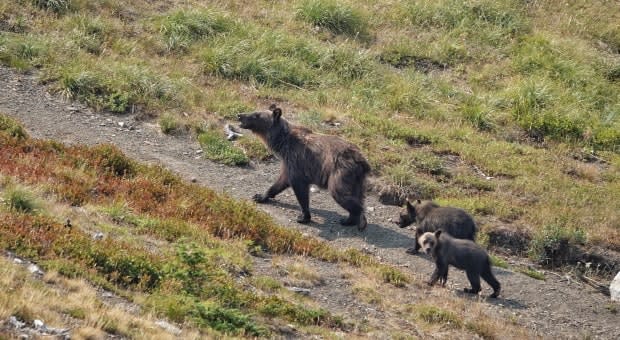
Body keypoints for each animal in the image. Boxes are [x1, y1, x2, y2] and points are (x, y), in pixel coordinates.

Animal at [236, 104, 368, 231]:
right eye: (254, 111)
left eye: (256, 115)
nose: (239, 115)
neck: (282, 142)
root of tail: (362, 160)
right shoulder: (288, 162)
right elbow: (280, 182)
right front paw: (260, 196)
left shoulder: (296, 159)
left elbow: (299, 187)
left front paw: (303, 217)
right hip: (356, 179)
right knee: (357, 196)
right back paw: (350, 220)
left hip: (340, 172)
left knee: (340, 193)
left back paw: (357, 220)